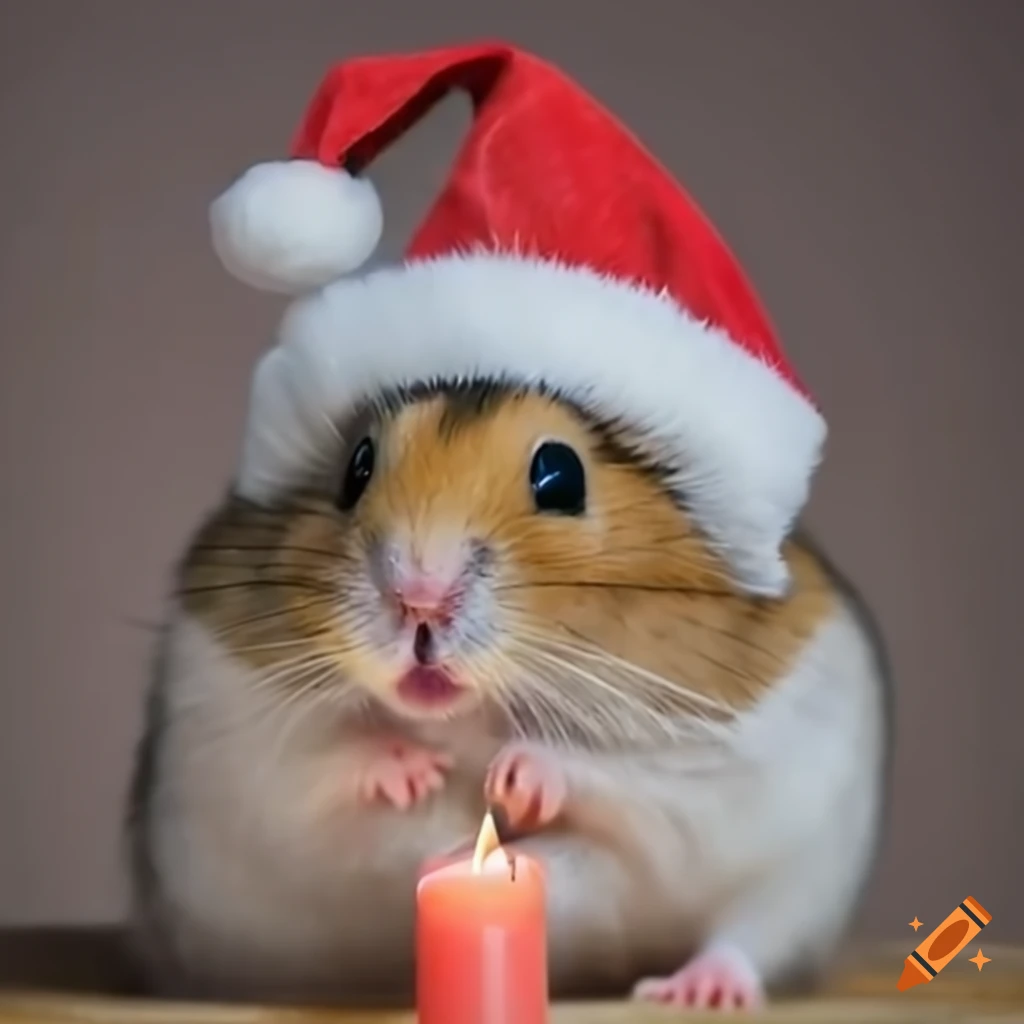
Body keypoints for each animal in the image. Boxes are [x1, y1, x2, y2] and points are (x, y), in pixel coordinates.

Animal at [125, 379, 891, 1011]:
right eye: (356, 466)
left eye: (560, 476)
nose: (419, 599)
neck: (469, 719)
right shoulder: (233, 734)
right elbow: (321, 773)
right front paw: (415, 777)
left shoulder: (710, 767)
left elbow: (621, 788)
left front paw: (513, 779)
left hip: (800, 885)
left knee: (746, 938)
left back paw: (696, 991)